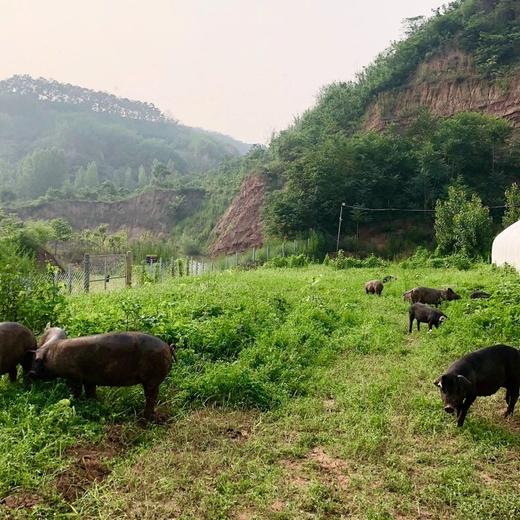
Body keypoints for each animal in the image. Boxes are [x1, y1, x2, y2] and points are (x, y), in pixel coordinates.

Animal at [30, 328, 175, 420]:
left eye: (37, 361)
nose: (30, 373)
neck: (52, 356)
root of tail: (168, 347)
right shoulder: (88, 379)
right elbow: (90, 392)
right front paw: (93, 403)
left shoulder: (73, 376)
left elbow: (75, 391)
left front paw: (74, 401)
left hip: (152, 378)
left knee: (151, 397)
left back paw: (144, 419)